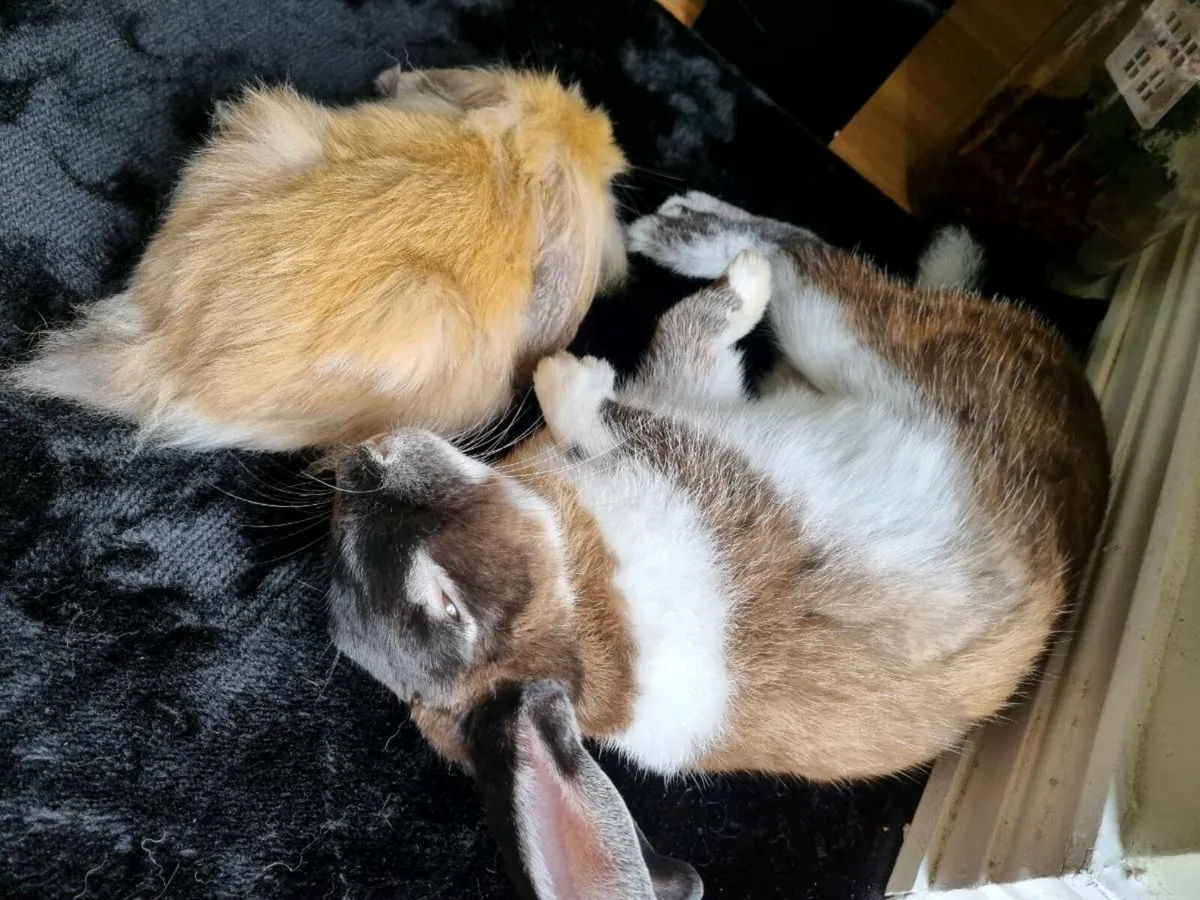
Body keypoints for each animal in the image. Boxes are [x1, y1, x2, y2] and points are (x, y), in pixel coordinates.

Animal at [324, 192, 1109, 896]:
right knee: (812, 262)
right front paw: (574, 374)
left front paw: (561, 372)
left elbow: (676, 345)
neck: (575, 590)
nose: (362, 463)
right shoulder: (692, 455)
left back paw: (676, 229)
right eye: (445, 607)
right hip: (856, 338)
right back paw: (699, 238)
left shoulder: (694, 403)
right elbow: (638, 385)